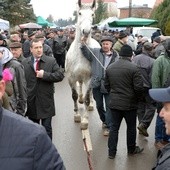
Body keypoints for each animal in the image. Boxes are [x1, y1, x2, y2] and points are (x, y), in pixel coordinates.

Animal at [64, 0, 99, 129]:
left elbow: (87, 98)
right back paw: (80, 99)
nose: (86, 31)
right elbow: (74, 95)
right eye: (79, 13)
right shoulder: (71, 78)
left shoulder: (89, 78)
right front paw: (77, 115)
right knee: (79, 87)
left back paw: (91, 104)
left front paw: (85, 120)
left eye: (93, 14)